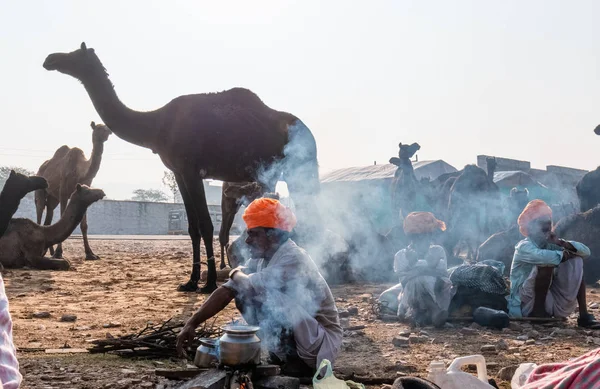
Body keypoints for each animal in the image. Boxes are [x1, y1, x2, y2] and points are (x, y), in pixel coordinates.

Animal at [34, 122, 112, 260]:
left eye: (106, 127)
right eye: (99, 128)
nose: (109, 131)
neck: (79, 171)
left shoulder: (83, 191)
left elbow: (84, 225)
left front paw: (90, 254)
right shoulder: (64, 191)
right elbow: (63, 217)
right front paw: (59, 253)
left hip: (53, 199)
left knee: (48, 217)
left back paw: (49, 252)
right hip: (41, 192)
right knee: (39, 212)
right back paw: (47, 252)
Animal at [44, 41, 322, 292]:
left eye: (76, 54)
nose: (50, 59)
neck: (157, 125)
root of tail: (308, 132)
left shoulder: (192, 169)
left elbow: (206, 224)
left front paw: (209, 283)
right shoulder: (178, 172)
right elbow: (192, 227)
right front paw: (190, 281)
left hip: (299, 168)